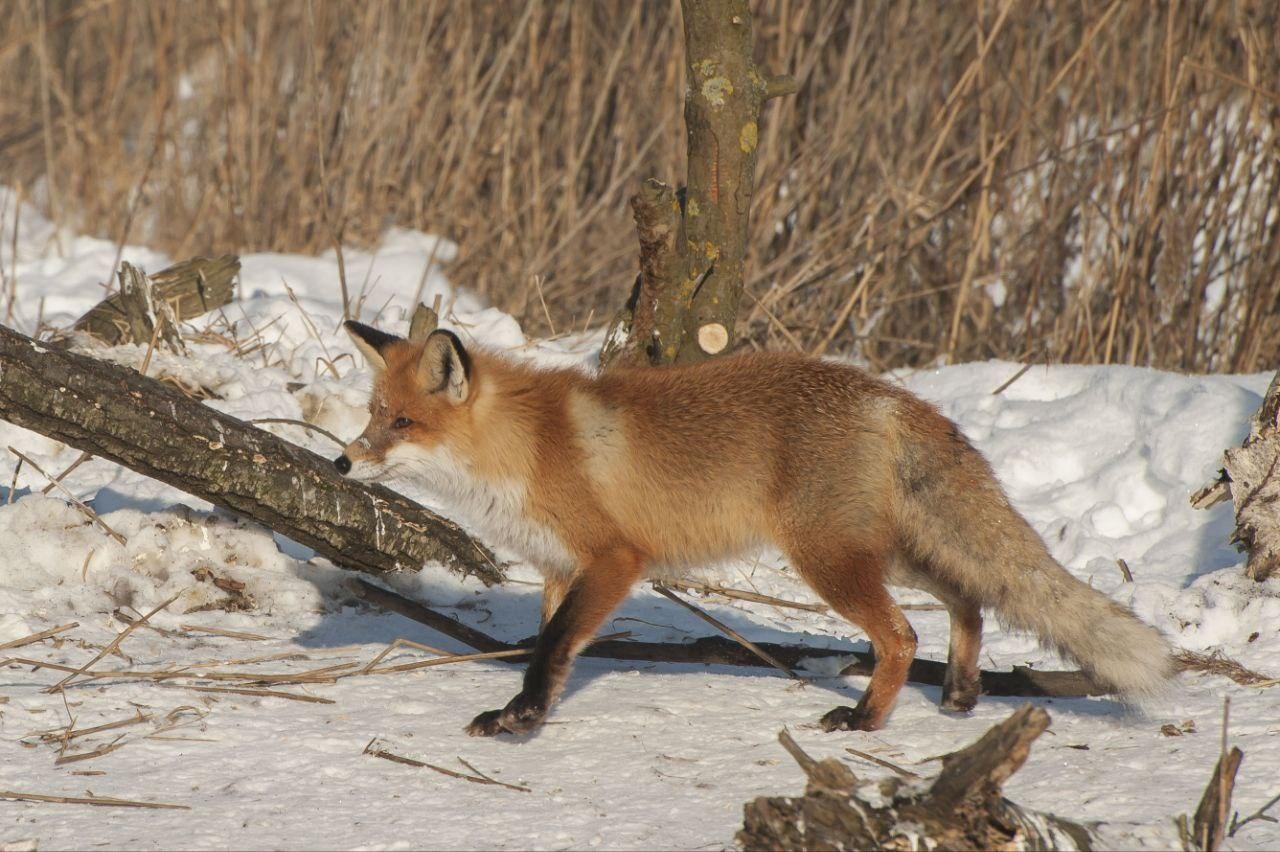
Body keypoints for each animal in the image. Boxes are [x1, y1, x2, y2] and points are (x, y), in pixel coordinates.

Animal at [334, 320, 1173, 737]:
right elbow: (550, 647)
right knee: (969, 598)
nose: (342, 462)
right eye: (372, 414)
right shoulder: (560, 571)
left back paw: (867, 720)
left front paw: (524, 718)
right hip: (885, 552)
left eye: (402, 423)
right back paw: (962, 692)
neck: (524, 449)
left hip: (827, 561)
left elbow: (552, 648)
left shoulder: (614, 559)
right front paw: (525, 711)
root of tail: (886, 395)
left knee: (903, 635)